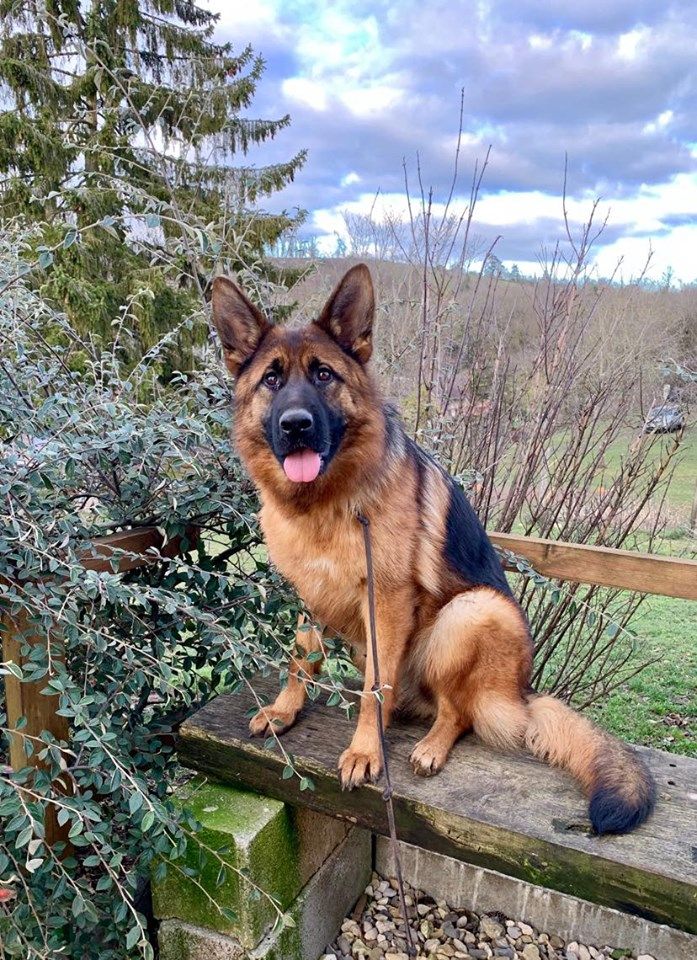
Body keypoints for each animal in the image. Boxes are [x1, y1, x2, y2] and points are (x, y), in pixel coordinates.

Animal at [211, 262, 652, 832]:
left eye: (324, 375)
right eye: (272, 379)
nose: (296, 426)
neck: (328, 502)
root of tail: (521, 694)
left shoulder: (387, 599)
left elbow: (375, 688)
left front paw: (365, 751)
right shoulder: (310, 595)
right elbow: (299, 657)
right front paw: (286, 711)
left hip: (471, 613)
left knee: (457, 712)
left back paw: (432, 745)